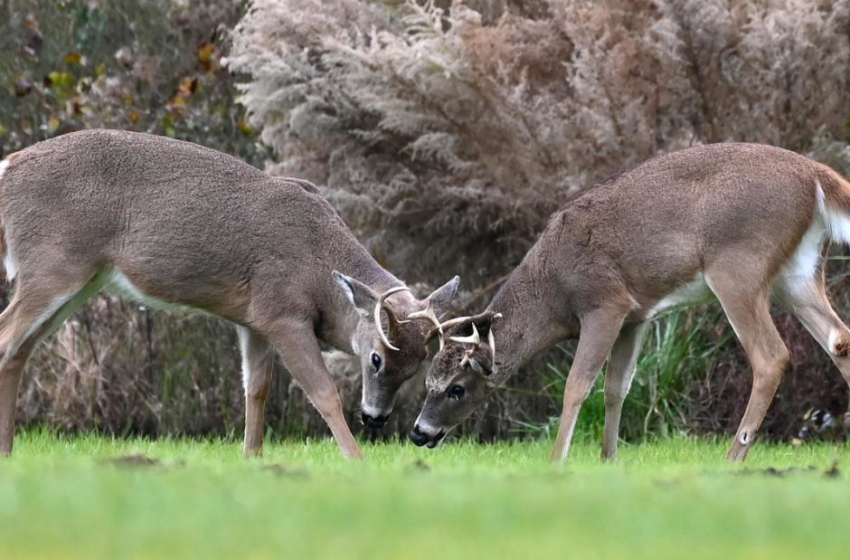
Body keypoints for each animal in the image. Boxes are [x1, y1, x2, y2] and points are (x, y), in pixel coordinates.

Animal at [0, 130, 458, 460]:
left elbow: (256, 389)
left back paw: (9, 452)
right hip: (52, 264)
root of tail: (9, 168)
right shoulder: (283, 312)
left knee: (20, 350)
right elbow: (323, 392)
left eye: (416, 366)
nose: (376, 418)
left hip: (80, 281)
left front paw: (252, 459)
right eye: (376, 358)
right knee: (8, 339)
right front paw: (356, 461)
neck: (320, 266)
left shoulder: (254, 320)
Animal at [406, 142, 850, 462]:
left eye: (457, 388)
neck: (552, 290)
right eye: (428, 383)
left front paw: (556, 461)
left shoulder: (605, 302)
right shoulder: (637, 316)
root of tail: (816, 175)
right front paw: (609, 459)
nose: (418, 433)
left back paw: (733, 458)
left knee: (772, 356)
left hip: (738, 266)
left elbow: (577, 385)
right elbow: (616, 387)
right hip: (798, 273)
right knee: (838, 339)